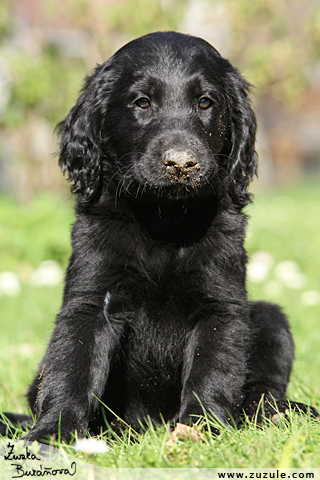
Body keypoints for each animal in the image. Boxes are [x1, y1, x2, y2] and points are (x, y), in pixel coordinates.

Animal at [1, 30, 318, 442]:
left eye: (205, 102)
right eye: (142, 102)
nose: (181, 163)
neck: (163, 220)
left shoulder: (221, 305)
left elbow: (213, 370)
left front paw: (199, 430)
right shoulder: (91, 300)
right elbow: (72, 366)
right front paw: (51, 434)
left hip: (269, 319)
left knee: (264, 384)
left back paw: (279, 414)